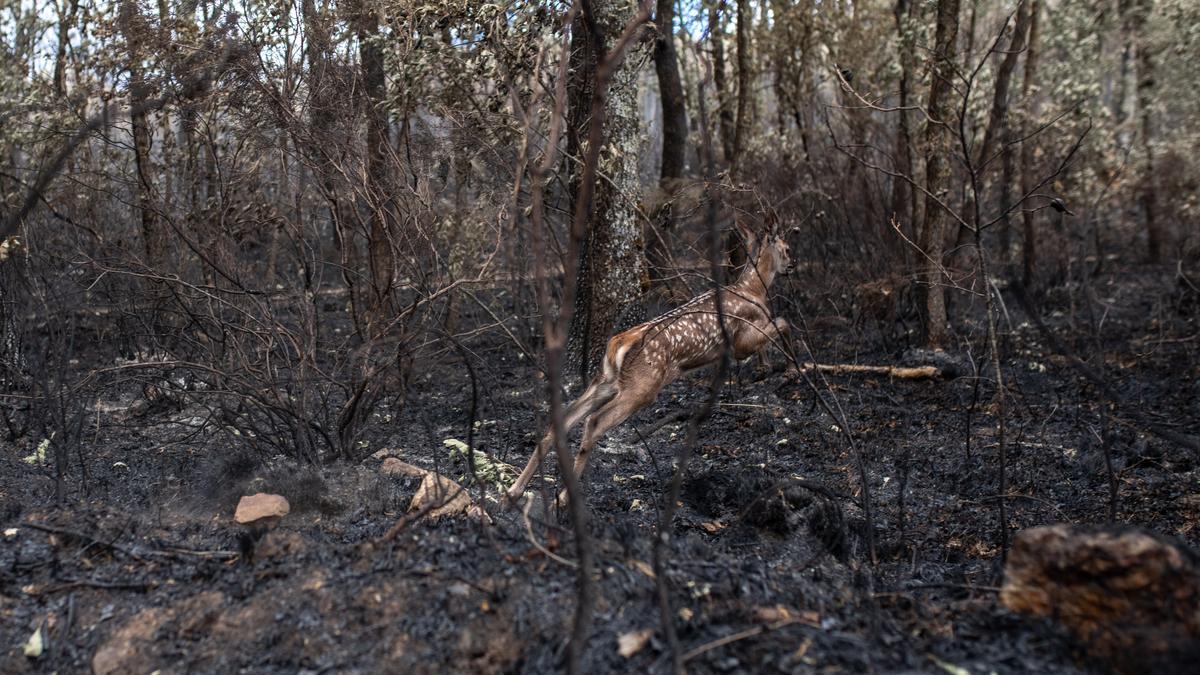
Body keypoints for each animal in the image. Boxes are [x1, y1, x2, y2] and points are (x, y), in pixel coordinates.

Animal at [505, 220, 794, 507]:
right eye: (787, 248)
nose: (791, 266)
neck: (752, 290)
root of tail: (618, 343)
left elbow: (777, 326)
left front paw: (767, 367)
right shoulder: (740, 341)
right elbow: (782, 323)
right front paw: (785, 365)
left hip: (606, 380)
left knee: (565, 418)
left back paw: (514, 490)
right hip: (643, 386)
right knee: (594, 421)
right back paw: (564, 496)